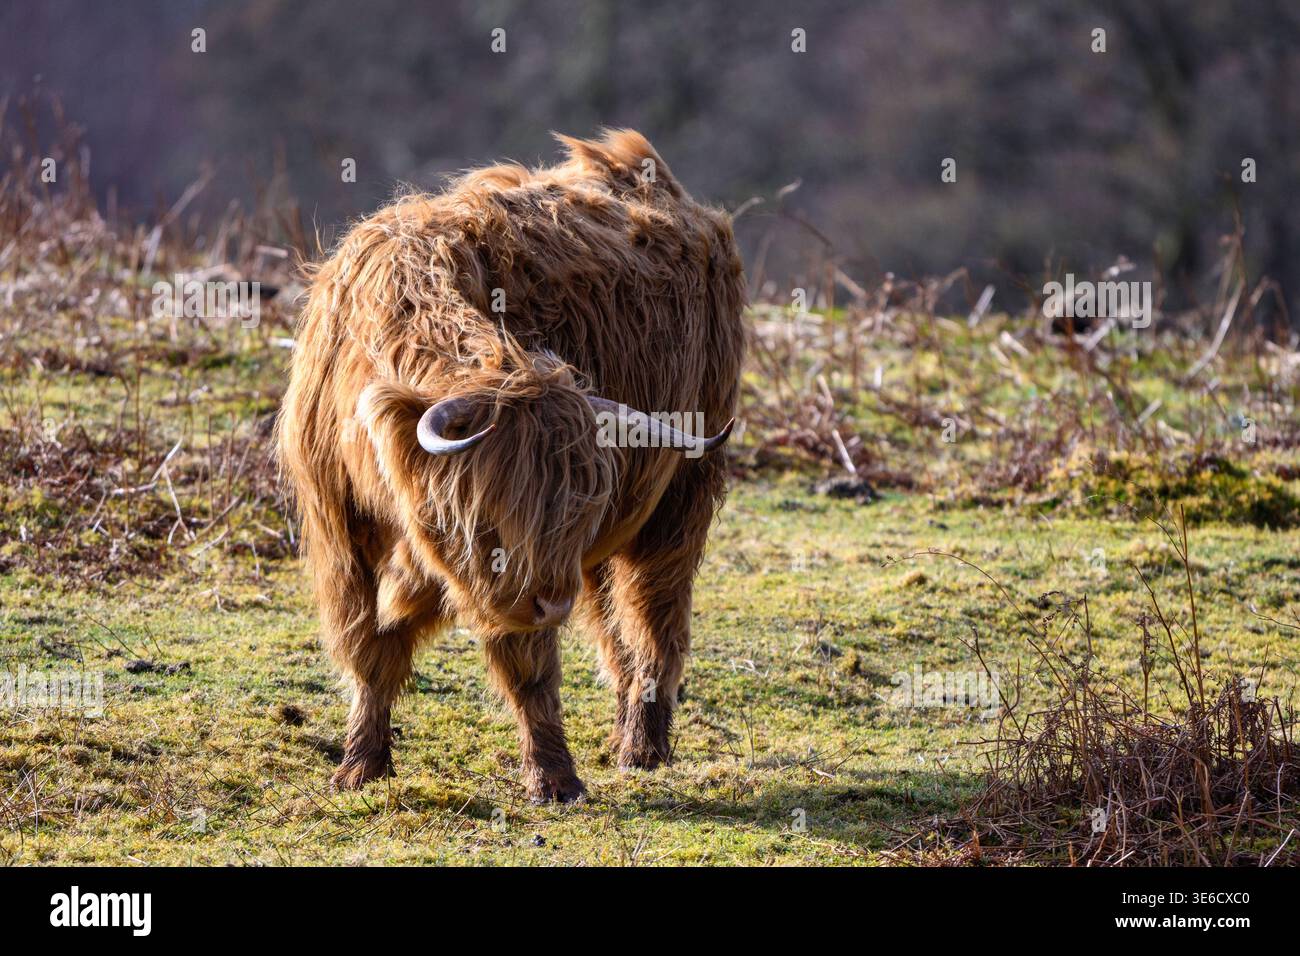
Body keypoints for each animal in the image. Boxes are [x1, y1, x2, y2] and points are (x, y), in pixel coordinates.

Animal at [276, 129, 746, 802]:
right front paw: (360, 765)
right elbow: (368, 650)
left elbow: (527, 668)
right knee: (615, 627)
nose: (552, 603)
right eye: (493, 514)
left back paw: (642, 746)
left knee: (657, 617)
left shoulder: (517, 583)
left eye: (570, 509)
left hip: (682, 495)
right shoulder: (342, 535)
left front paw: (555, 778)